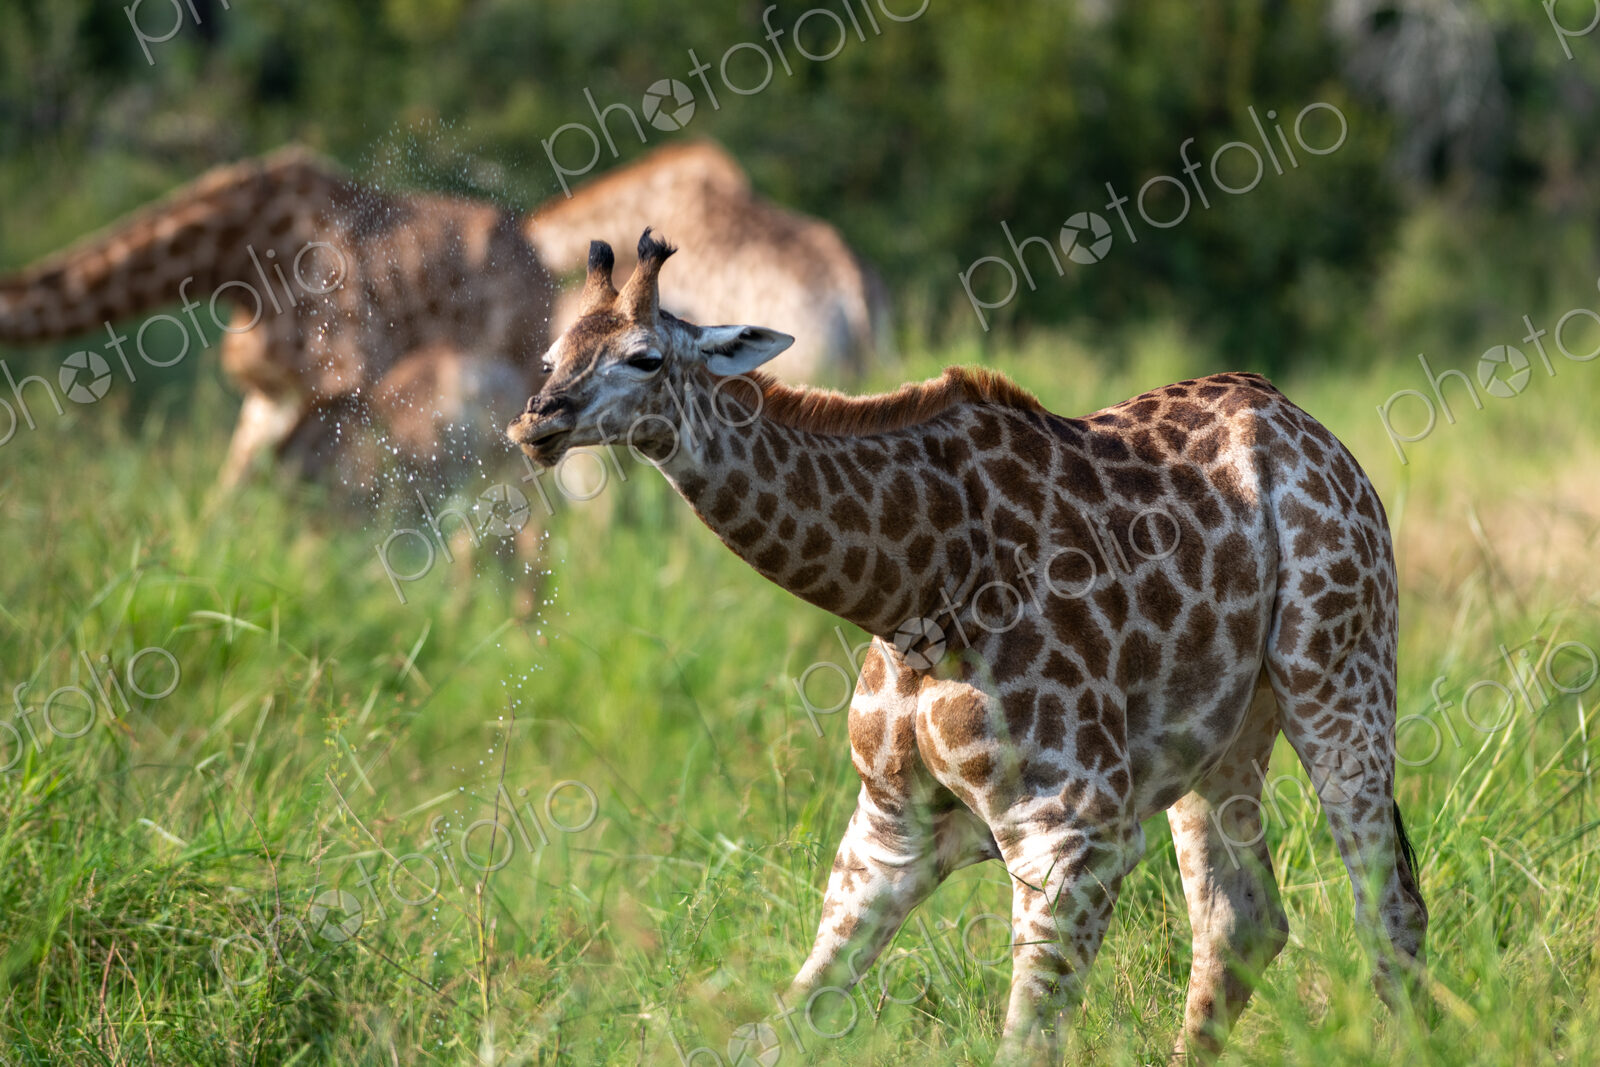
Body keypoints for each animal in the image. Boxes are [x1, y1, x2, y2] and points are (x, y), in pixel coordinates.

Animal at [508, 231, 1428, 1061]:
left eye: (645, 358)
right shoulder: (889, 829)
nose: (536, 421)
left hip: (1339, 671)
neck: (912, 590)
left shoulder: (1073, 830)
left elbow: (1025, 1042)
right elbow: (774, 1023)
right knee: (1242, 919)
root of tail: (1303, 422)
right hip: (1222, 734)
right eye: (552, 354)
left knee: (1387, 904)